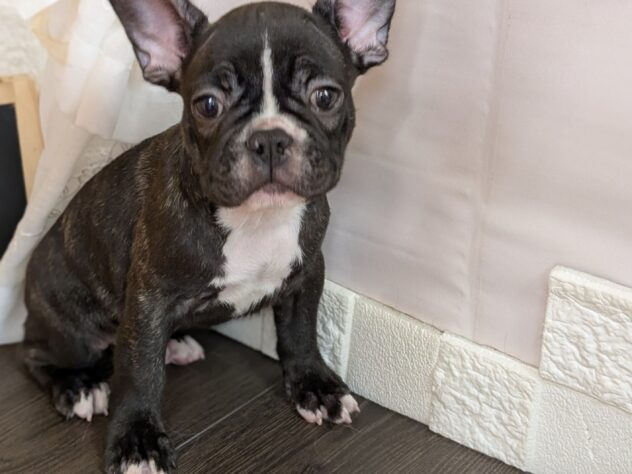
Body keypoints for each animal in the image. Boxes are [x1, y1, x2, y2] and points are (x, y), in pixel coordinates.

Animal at [22, 1, 396, 472]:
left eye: (325, 96)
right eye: (208, 105)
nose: (269, 137)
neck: (256, 219)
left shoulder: (306, 274)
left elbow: (300, 334)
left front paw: (317, 388)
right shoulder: (148, 299)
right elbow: (139, 374)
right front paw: (137, 442)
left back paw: (176, 345)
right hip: (71, 333)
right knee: (37, 354)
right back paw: (78, 387)